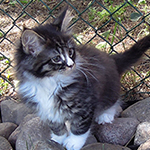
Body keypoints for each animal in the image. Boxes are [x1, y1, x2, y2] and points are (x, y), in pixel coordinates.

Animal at [14, 8, 150, 150]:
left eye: (70, 52)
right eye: (56, 58)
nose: (71, 64)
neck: (49, 81)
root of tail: (111, 59)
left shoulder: (84, 104)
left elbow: (80, 126)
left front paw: (73, 142)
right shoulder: (46, 108)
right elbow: (56, 126)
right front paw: (58, 139)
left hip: (109, 87)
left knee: (113, 100)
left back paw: (105, 115)